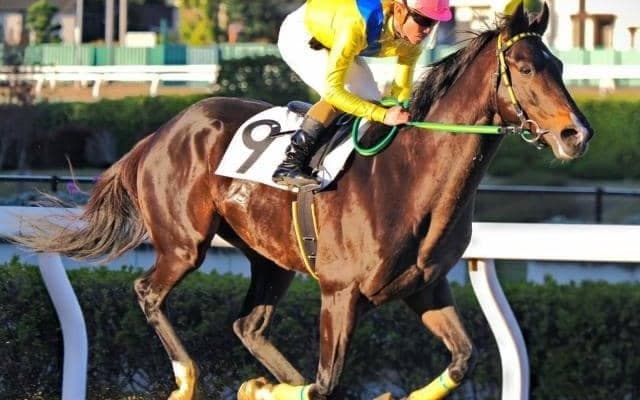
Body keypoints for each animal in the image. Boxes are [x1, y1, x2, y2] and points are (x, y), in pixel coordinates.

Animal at [15, 4, 593, 400]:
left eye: (560, 65)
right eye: (524, 67)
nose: (578, 134)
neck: (408, 177)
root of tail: (161, 132)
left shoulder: (425, 287)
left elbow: (462, 358)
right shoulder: (340, 294)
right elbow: (325, 383)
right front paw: (259, 388)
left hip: (271, 258)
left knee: (248, 325)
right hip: (184, 243)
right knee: (149, 292)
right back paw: (186, 379)